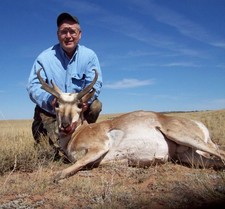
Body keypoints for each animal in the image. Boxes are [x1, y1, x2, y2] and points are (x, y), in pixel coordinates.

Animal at [37, 68, 225, 181]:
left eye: (79, 105)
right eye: (57, 104)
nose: (65, 125)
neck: (77, 134)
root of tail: (198, 123)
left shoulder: (99, 147)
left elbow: (72, 166)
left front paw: (58, 175)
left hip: (180, 135)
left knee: (221, 154)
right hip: (188, 155)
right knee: (217, 160)